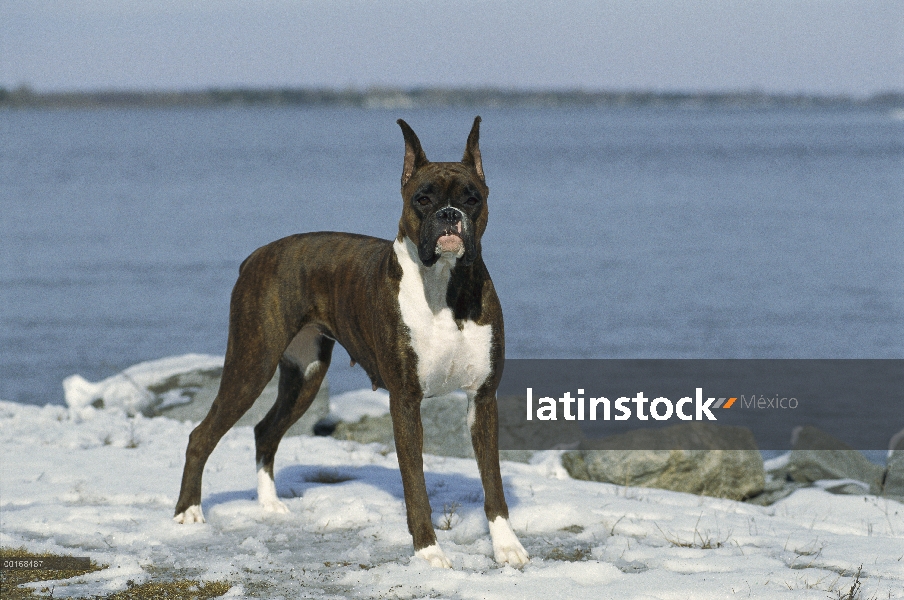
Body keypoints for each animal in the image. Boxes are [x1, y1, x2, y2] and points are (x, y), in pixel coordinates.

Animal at [175, 116, 528, 568]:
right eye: (423, 198)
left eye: (473, 198)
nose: (450, 215)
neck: (445, 287)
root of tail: (256, 257)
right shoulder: (405, 401)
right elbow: (416, 485)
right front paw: (429, 553)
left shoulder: (482, 400)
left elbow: (493, 483)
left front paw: (507, 547)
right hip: (251, 364)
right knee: (201, 435)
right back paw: (188, 512)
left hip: (305, 375)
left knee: (265, 431)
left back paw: (269, 505)